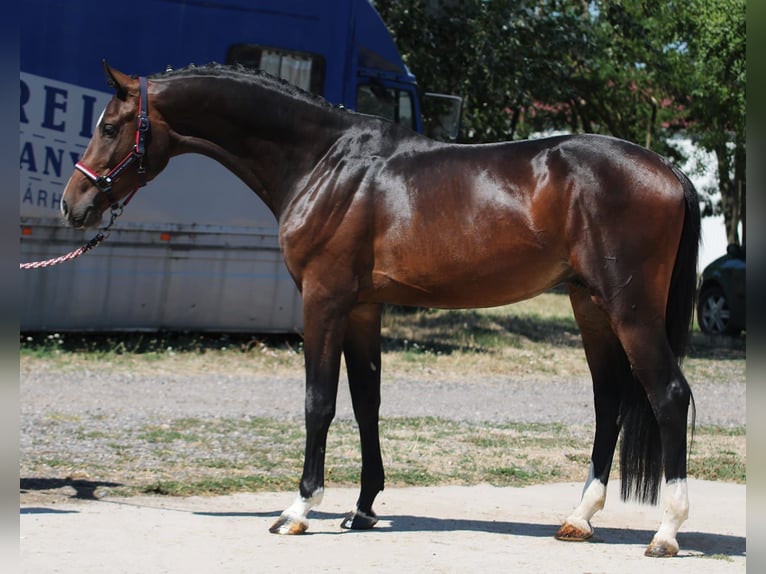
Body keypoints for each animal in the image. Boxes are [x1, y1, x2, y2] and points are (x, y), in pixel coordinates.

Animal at [60, 61, 700, 558]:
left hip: (630, 308)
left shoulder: (323, 299)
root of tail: (670, 170)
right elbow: (367, 403)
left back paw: (665, 532)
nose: (74, 205)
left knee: (668, 395)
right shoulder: (363, 308)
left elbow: (319, 402)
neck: (325, 162)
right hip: (589, 304)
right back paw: (579, 518)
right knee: (609, 401)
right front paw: (363, 509)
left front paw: (298, 509)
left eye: (111, 127)